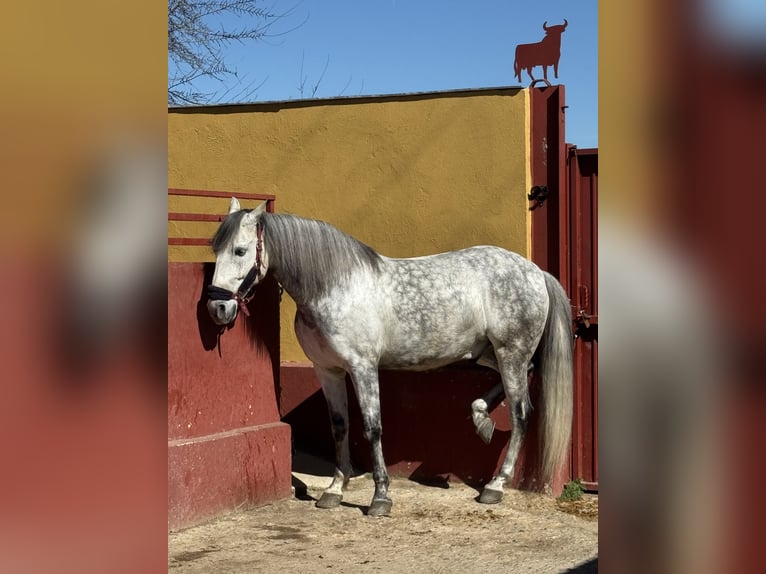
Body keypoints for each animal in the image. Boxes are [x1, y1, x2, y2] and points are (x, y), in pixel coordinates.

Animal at [207, 200, 572, 520]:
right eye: (216, 251)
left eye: (240, 251)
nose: (218, 308)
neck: (334, 288)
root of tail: (535, 271)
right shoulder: (328, 370)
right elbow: (339, 426)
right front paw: (334, 489)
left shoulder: (363, 368)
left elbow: (372, 427)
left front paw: (380, 496)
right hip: (489, 354)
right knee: (527, 374)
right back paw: (480, 416)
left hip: (510, 352)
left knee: (521, 413)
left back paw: (496, 484)